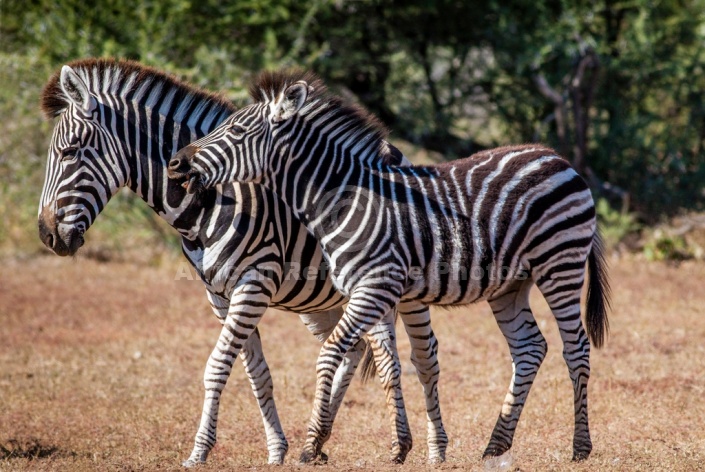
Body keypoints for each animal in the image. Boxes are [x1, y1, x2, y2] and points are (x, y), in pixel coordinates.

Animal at [37, 58, 446, 464]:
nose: (47, 235)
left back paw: (429, 448)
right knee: (361, 351)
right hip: (329, 299)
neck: (210, 201)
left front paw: (199, 451)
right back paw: (326, 443)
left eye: (69, 152)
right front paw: (277, 450)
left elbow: (218, 366)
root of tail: (392, 149)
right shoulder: (219, 295)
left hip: (404, 289)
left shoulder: (253, 284)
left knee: (420, 358)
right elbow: (256, 372)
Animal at [168, 70, 608, 464]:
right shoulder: (366, 292)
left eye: (235, 131)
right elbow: (379, 361)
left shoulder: (374, 287)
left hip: (560, 265)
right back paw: (496, 445)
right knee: (530, 348)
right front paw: (387, 445)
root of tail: (558, 158)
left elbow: (330, 353)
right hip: (511, 285)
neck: (341, 202)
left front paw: (311, 444)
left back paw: (580, 447)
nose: (175, 163)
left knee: (576, 348)